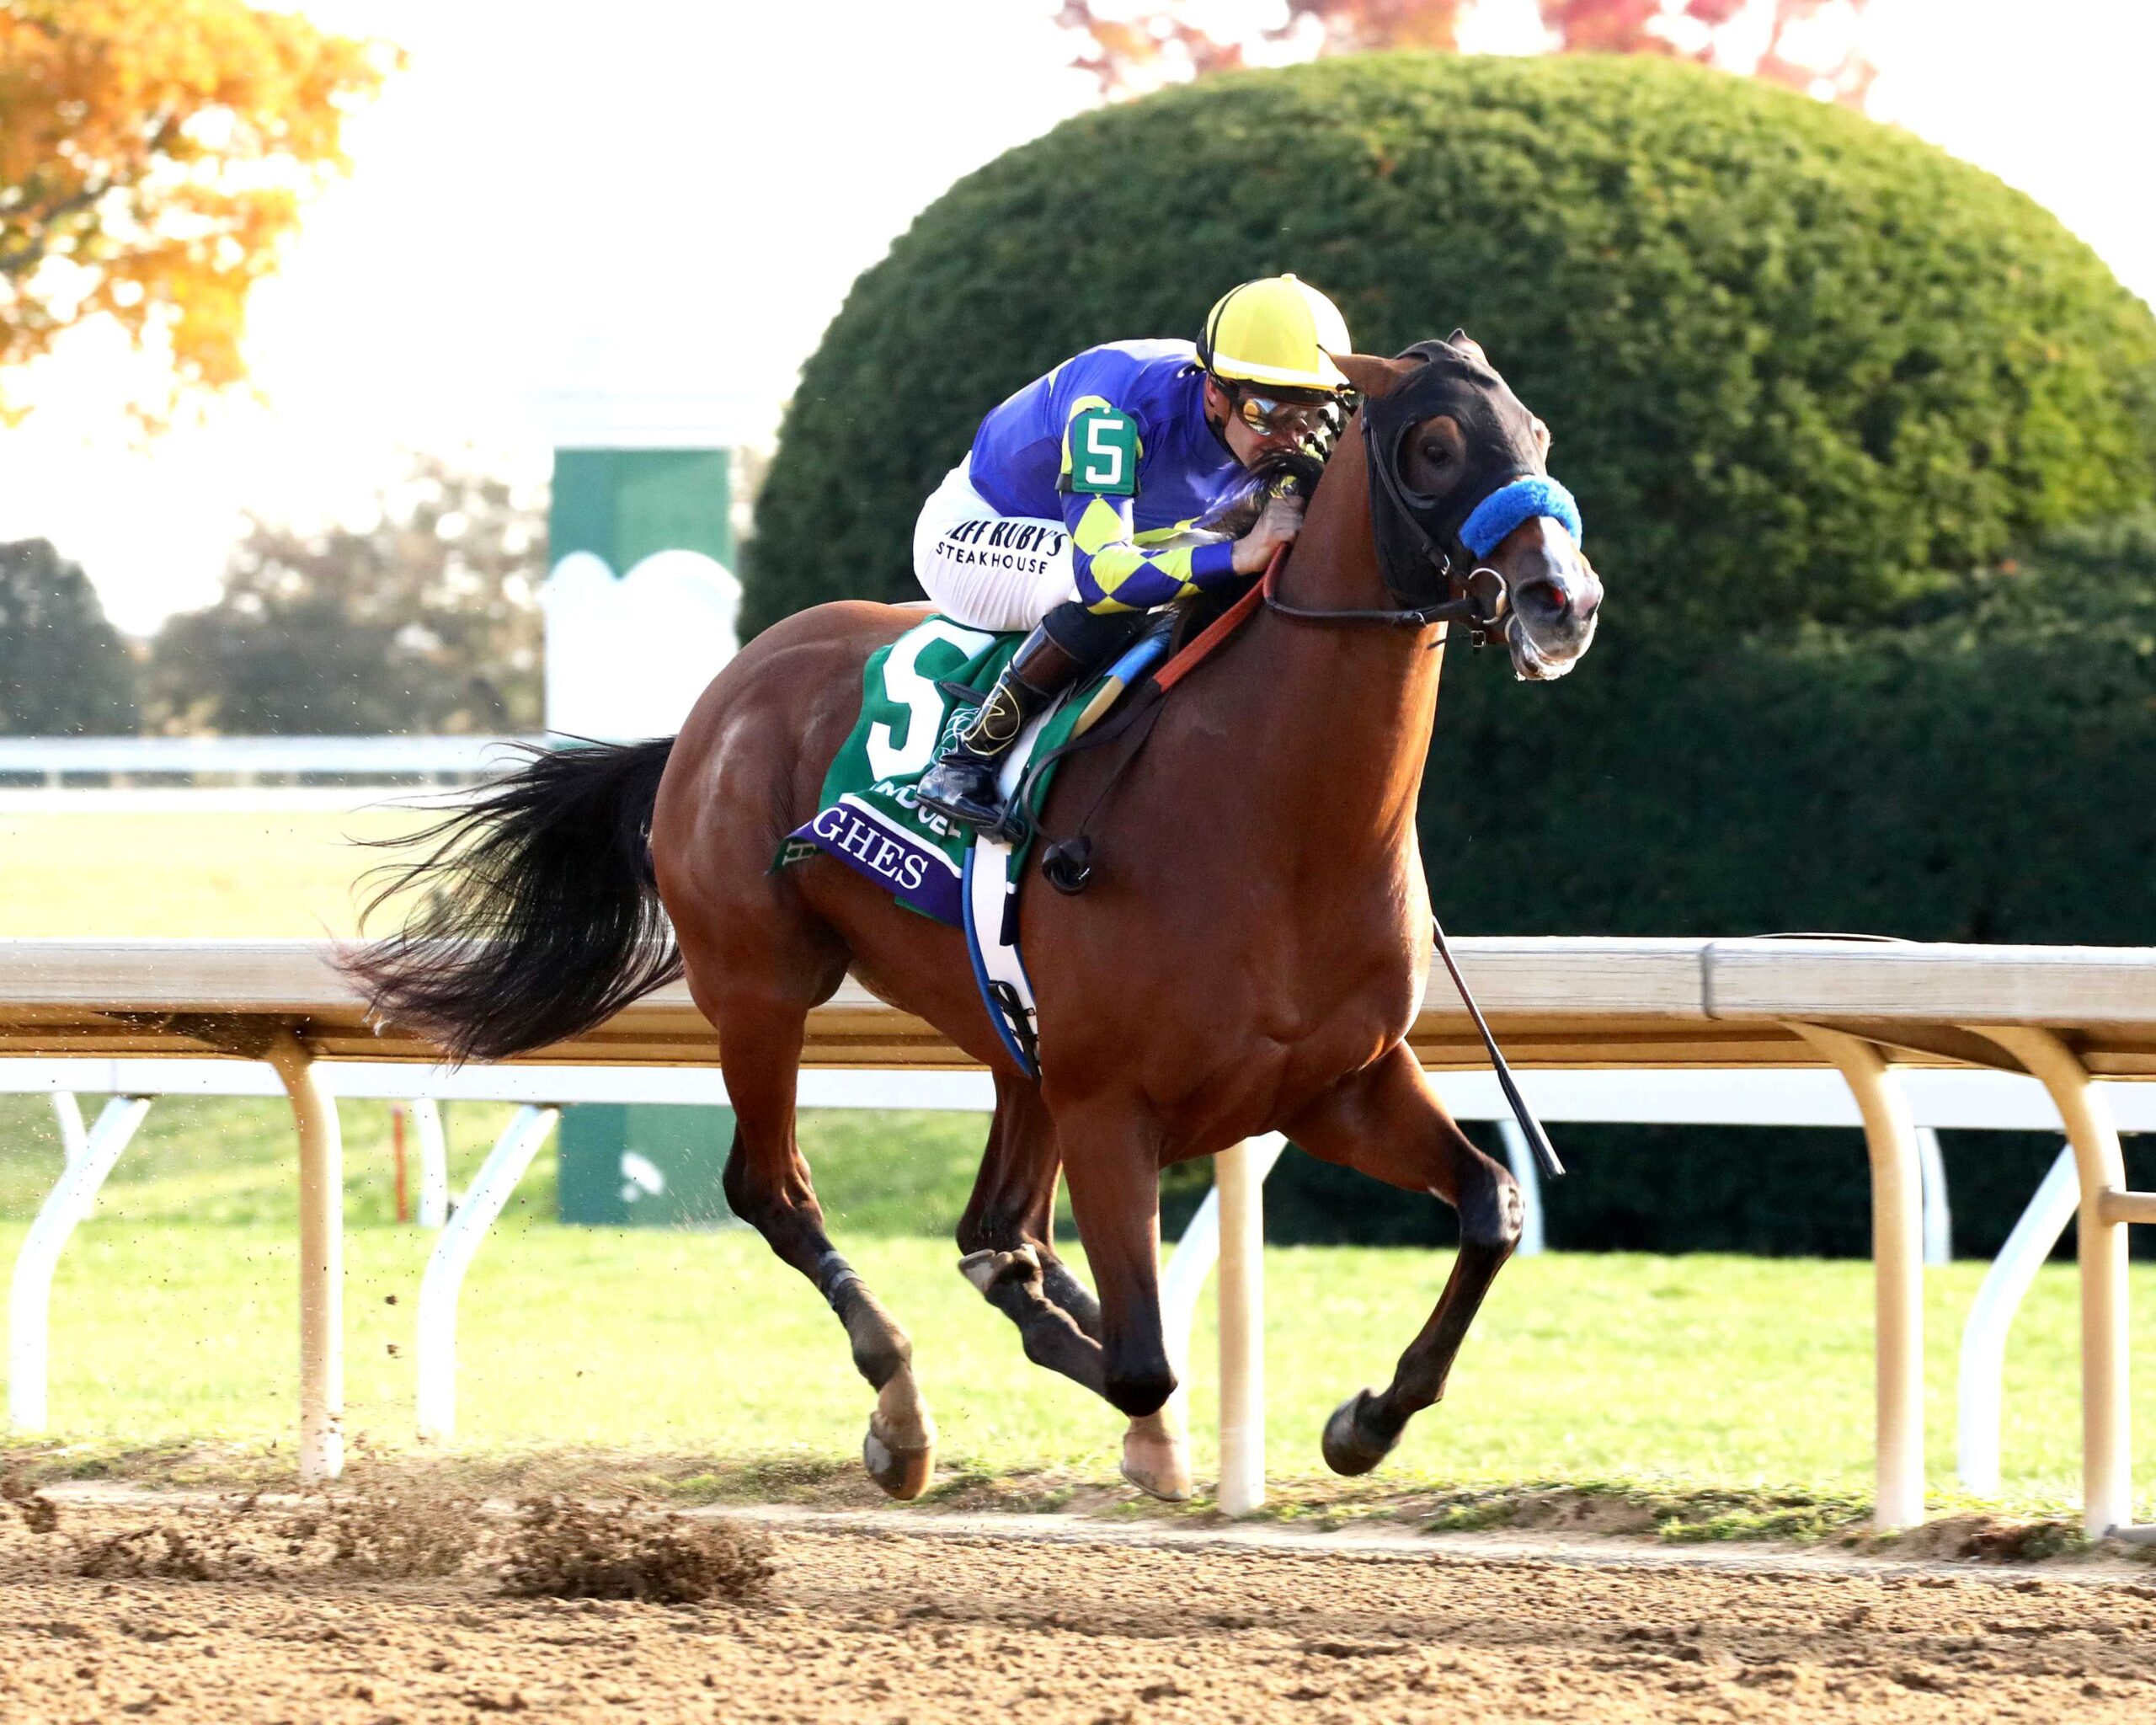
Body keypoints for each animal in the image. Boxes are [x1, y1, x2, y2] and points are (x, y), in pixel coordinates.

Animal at [348, 336, 1604, 1502]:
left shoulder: (1333, 1081)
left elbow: (1490, 1208)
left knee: (998, 1227)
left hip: (1009, 1035)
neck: (1273, 816)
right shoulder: (1111, 1102)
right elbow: (1141, 1361)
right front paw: (1152, 1429)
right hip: (762, 987)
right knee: (778, 1191)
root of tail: (710, 709)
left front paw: (1365, 1419)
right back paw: (900, 1407)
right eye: (1435, 446)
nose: (1565, 602)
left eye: (1539, 434)